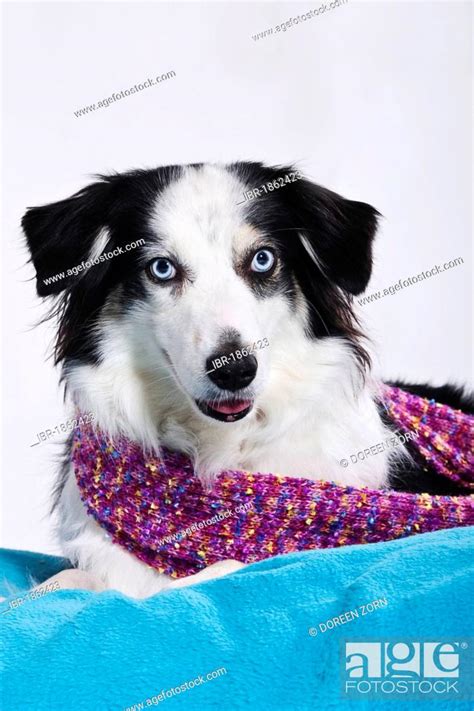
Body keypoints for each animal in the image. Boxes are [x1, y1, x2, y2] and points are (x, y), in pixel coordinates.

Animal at [23, 160, 474, 596]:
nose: (234, 370)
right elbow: (65, 581)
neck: (223, 448)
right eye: (162, 268)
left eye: (262, 259)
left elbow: (222, 568)